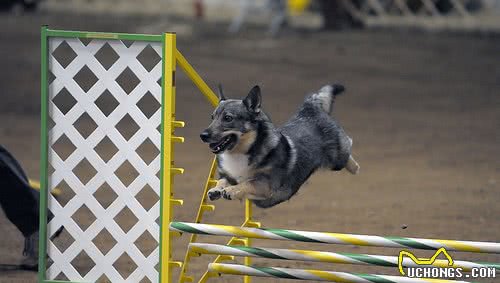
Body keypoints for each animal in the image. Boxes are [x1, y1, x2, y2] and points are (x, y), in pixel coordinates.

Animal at [199, 84, 360, 209]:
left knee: (348, 147)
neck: (240, 153)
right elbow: (222, 180)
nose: (203, 135)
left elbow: (247, 183)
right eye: (212, 118)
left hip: (336, 160)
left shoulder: (266, 185)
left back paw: (355, 167)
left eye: (228, 118)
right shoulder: (229, 176)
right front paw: (216, 190)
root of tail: (309, 109)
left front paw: (231, 190)